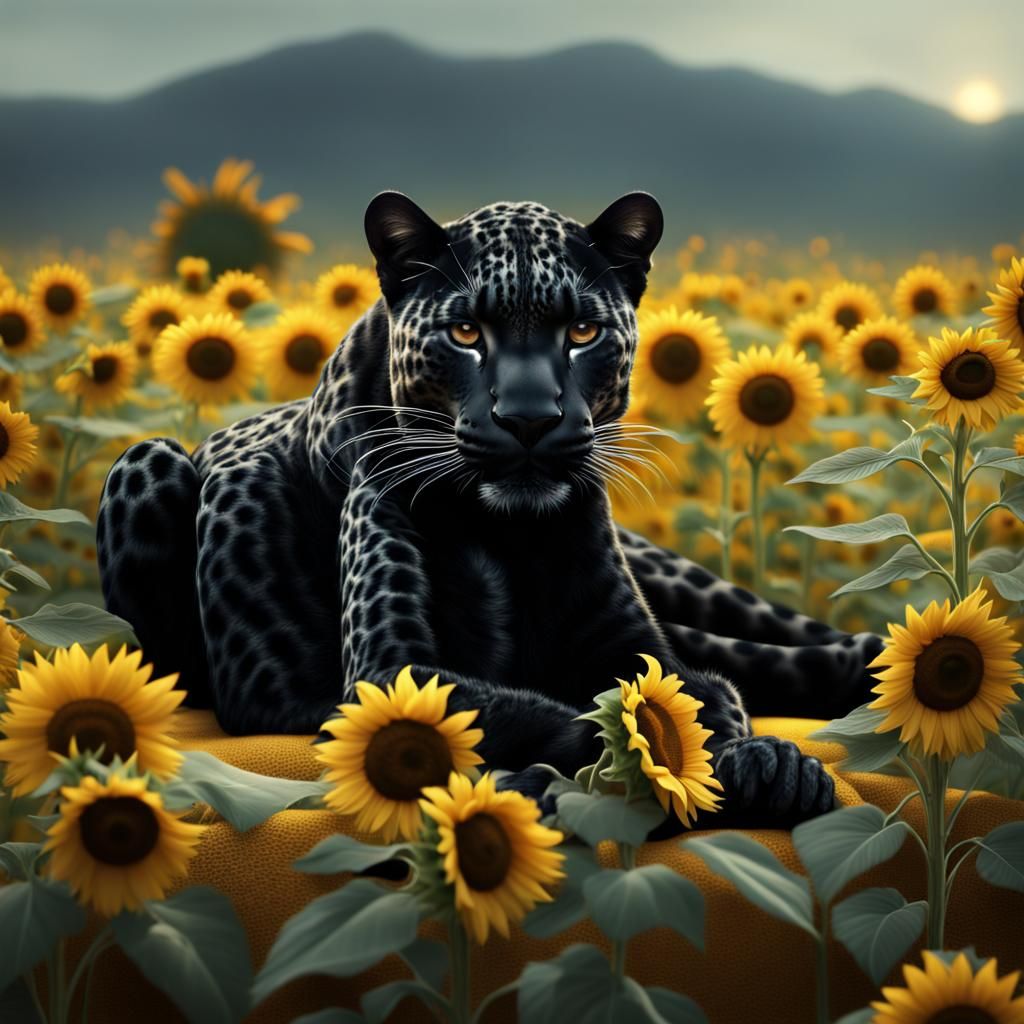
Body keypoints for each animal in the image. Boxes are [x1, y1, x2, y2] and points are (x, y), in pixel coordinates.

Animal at [96, 191, 884, 827]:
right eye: (466, 333)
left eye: (582, 333)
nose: (530, 418)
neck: (505, 534)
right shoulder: (391, 670)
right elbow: (579, 711)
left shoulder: (633, 640)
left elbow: (684, 688)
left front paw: (765, 759)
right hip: (145, 461)